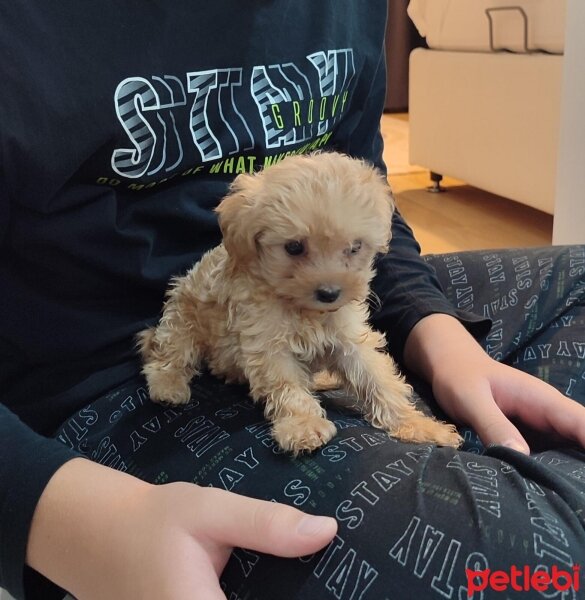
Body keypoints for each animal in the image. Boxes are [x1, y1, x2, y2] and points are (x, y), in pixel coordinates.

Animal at [138, 151, 460, 454]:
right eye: (294, 247)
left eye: (355, 247)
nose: (329, 293)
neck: (305, 310)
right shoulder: (267, 344)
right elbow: (287, 387)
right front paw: (303, 425)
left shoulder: (350, 336)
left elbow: (379, 379)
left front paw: (416, 424)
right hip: (182, 316)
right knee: (170, 353)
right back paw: (168, 385)